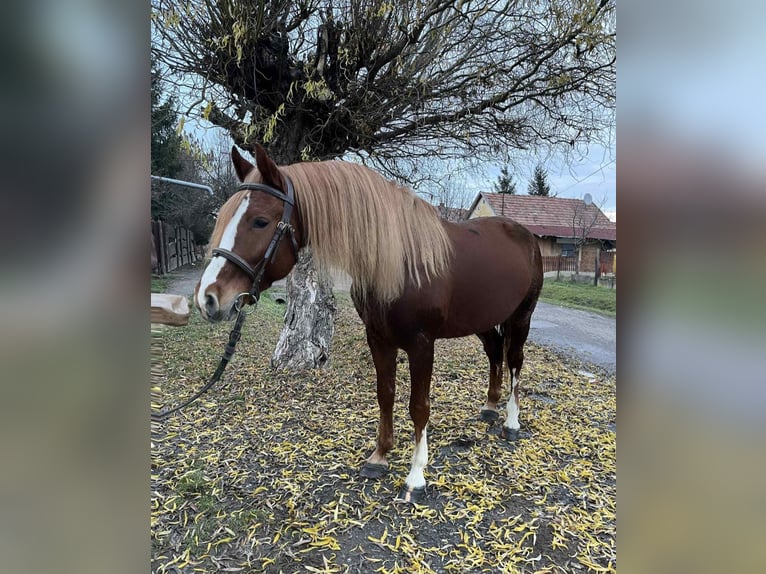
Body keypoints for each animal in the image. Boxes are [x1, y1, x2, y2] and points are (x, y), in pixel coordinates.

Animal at [195, 145, 543, 503]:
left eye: (260, 221)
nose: (208, 298)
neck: (400, 262)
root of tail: (526, 236)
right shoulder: (378, 338)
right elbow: (385, 394)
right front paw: (379, 457)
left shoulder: (421, 345)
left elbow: (419, 406)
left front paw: (416, 477)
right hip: (484, 320)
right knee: (495, 353)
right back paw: (489, 407)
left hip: (521, 317)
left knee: (515, 362)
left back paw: (511, 423)